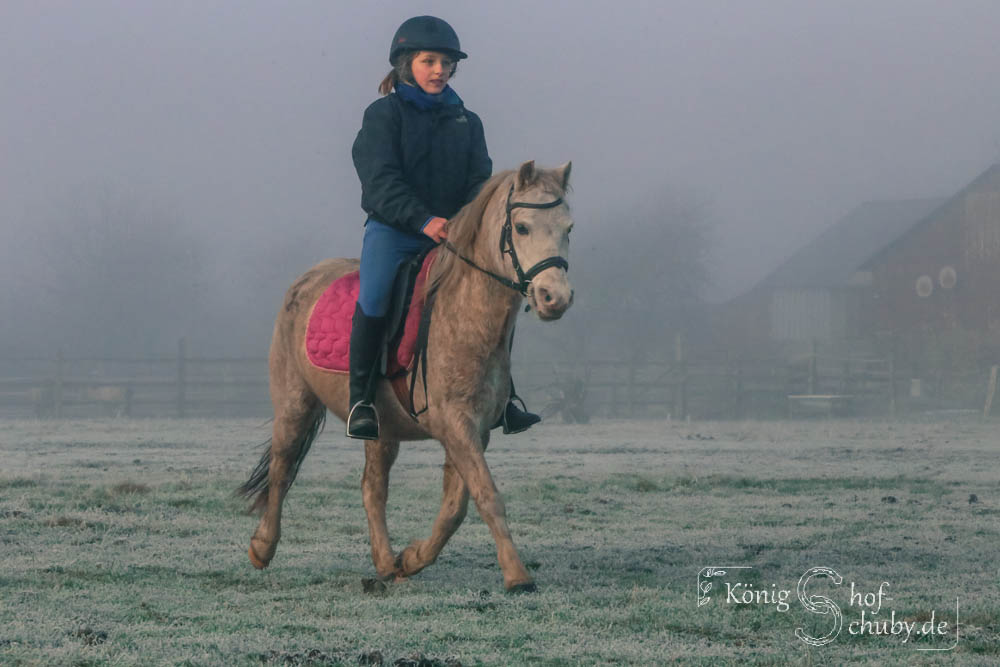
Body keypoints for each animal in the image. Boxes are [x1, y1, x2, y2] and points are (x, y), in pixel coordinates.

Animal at [238, 160, 574, 592]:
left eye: (568, 228)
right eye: (522, 227)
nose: (555, 298)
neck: (463, 314)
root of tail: (307, 279)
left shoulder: (473, 428)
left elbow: (456, 506)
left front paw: (412, 559)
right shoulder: (456, 424)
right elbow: (487, 495)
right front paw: (517, 575)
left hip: (381, 429)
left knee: (372, 489)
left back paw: (385, 563)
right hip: (294, 404)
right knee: (282, 470)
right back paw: (262, 548)